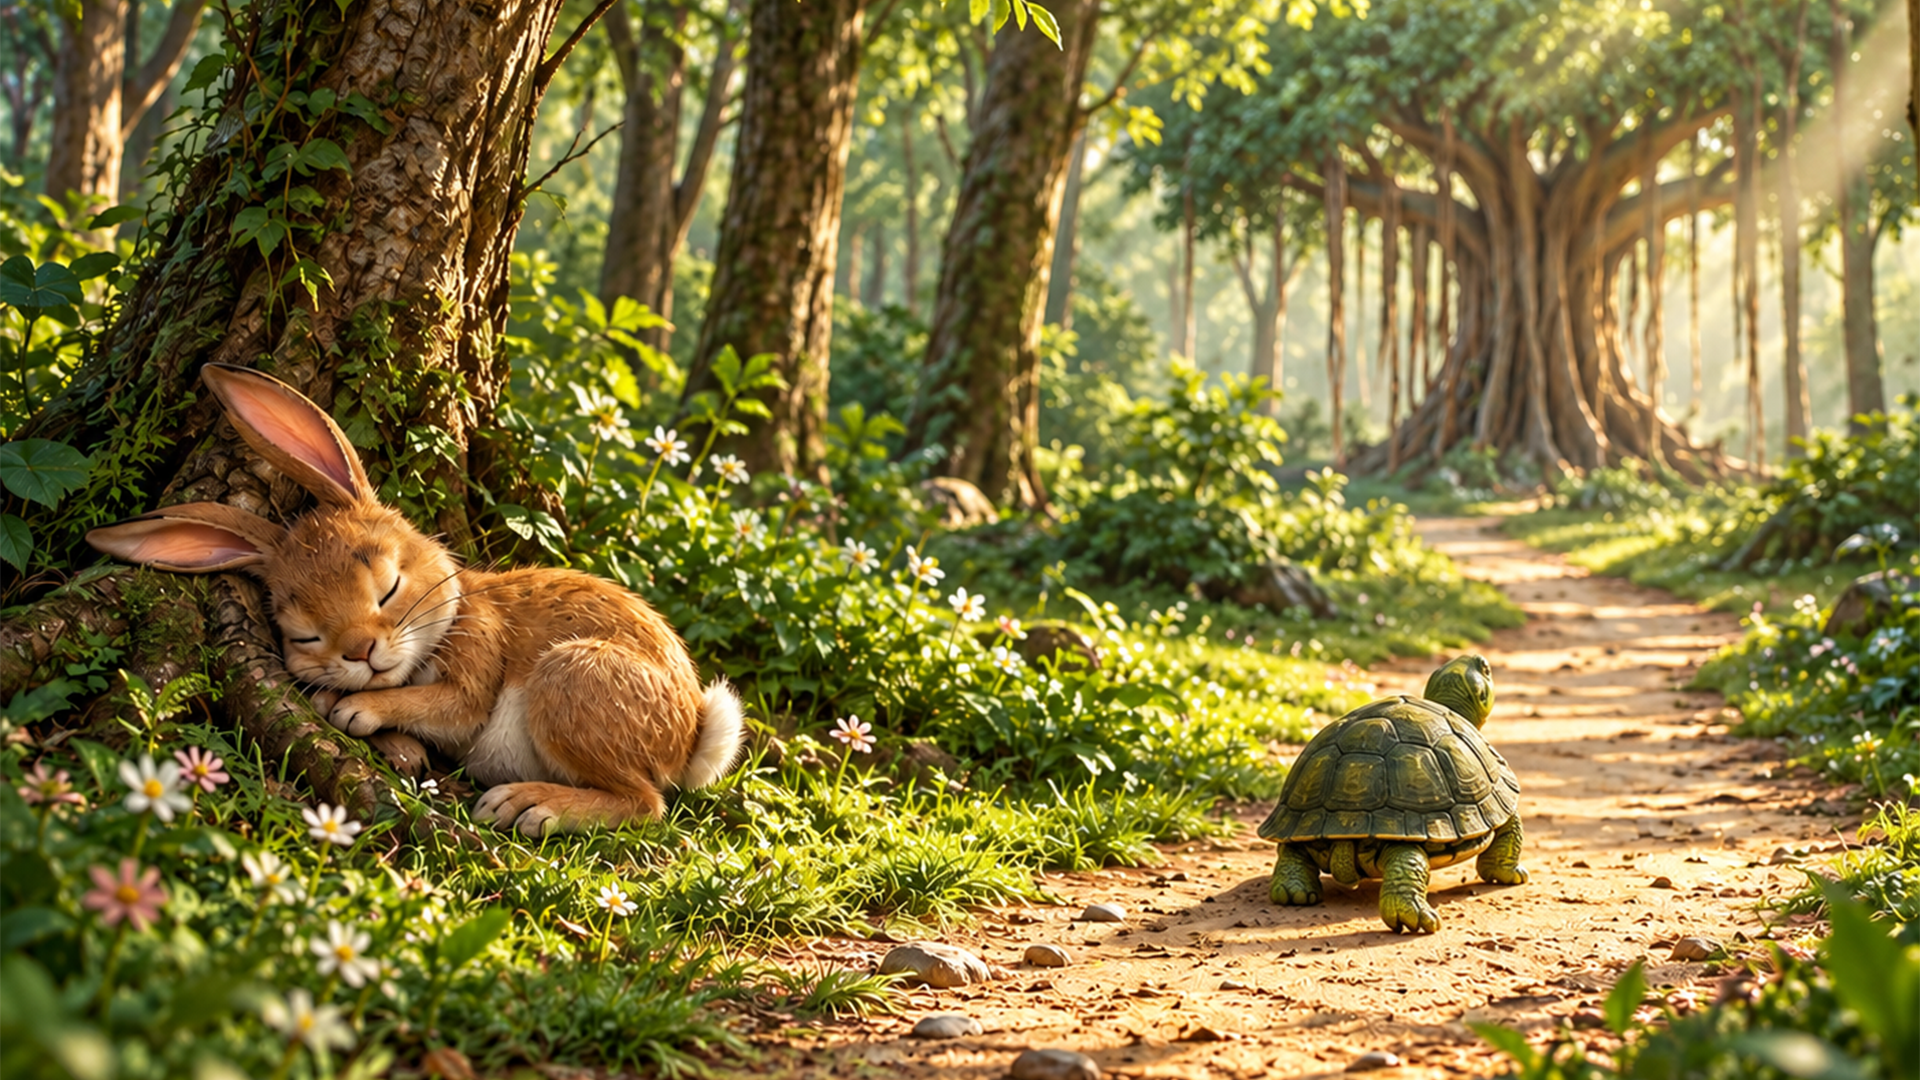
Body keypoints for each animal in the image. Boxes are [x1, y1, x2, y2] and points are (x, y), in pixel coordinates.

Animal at [87, 363, 744, 836]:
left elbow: (448, 704)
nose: (360, 651)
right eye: (303, 634)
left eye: (389, 586)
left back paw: (528, 807)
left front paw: (355, 710)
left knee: (646, 802)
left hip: (573, 681)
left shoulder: (476, 652)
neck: (453, 608)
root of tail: (689, 734)